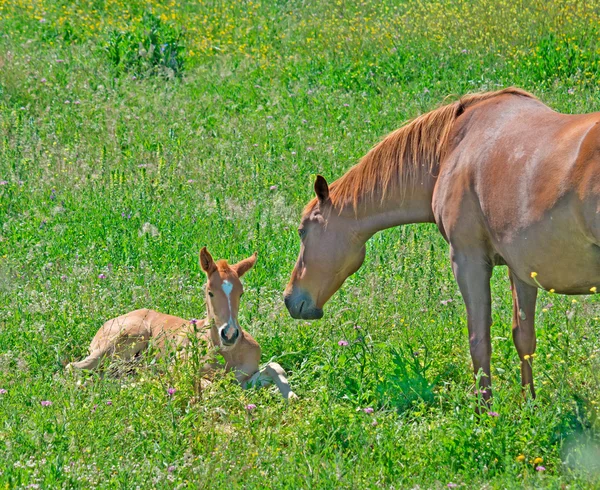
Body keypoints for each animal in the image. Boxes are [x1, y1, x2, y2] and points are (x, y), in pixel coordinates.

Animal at [67, 247, 298, 400]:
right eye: (210, 292)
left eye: (241, 293)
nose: (230, 334)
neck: (228, 354)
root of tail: (104, 325)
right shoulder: (186, 370)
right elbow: (212, 387)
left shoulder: (243, 376)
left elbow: (274, 367)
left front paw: (291, 396)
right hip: (127, 337)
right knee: (76, 368)